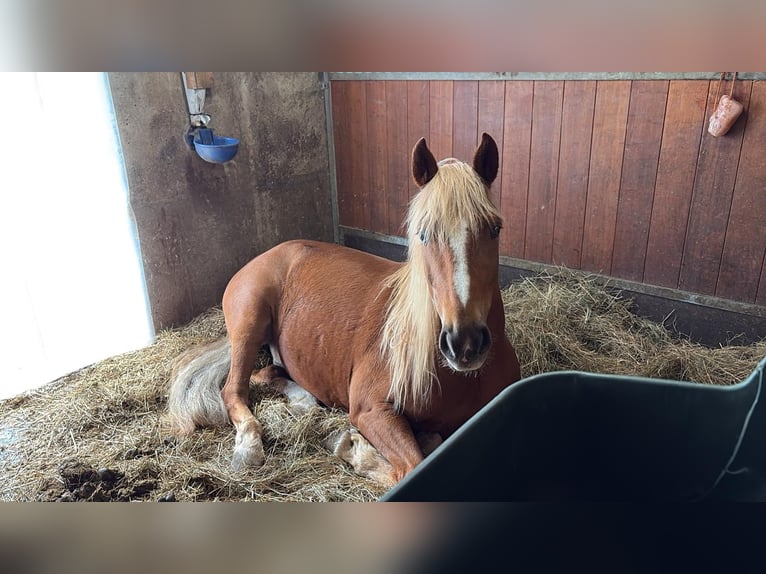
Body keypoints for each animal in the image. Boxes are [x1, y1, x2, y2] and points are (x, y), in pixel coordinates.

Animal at [167, 133, 522, 486]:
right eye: (423, 235)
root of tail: (272, 252)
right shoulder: (371, 409)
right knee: (234, 391)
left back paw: (304, 402)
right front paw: (352, 448)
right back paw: (249, 449)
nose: (465, 343)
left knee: (266, 373)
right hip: (249, 325)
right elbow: (412, 467)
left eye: (495, 229)